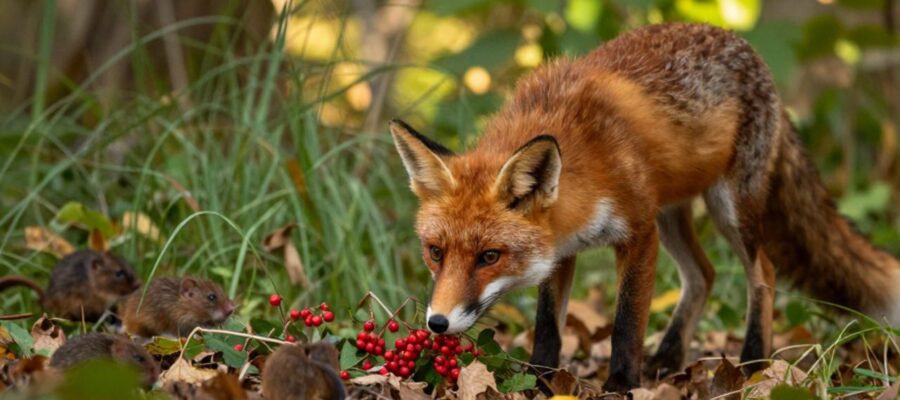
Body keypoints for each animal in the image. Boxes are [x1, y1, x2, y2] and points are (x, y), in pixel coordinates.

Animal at [389, 22, 900, 393]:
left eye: (489, 257)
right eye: (435, 252)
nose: (436, 323)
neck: (586, 167)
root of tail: (744, 45)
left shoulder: (637, 233)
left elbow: (625, 324)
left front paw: (619, 384)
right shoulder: (561, 250)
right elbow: (548, 327)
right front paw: (539, 382)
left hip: (727, 209)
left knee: (763, 272)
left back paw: (753, 361)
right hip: (672, 214)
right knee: (703, 274)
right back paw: (668, 358)